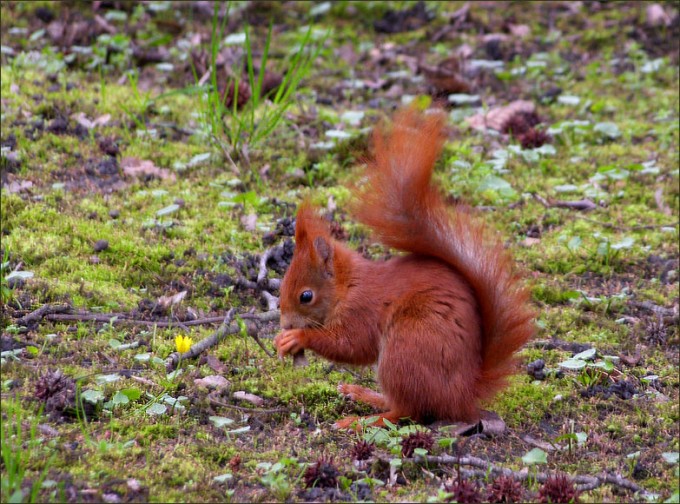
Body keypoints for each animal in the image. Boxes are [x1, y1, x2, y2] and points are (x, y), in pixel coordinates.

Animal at [274, 107, 535, 429]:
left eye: (306, 296)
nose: (286, 324)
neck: (347, 286)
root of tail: (464, 394)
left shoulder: (362, 309)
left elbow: (350, 344)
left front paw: (297, 337)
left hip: (406, 348)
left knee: (406, 411)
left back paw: (359, 421)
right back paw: (362, 393)